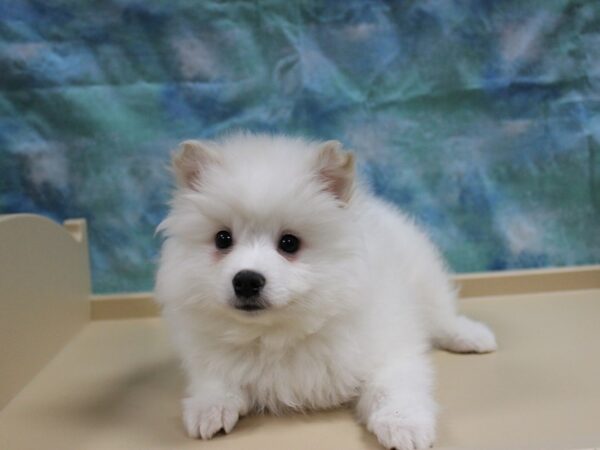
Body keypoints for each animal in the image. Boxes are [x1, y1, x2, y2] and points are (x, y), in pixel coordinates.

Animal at [156, 132, 496, 448]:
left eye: (289, 243)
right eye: (223, 239)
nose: (247, 280)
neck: (277, 335)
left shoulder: (388, 350)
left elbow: (393, 388)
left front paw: (404, 427)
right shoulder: (210, 355)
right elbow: (215, 381)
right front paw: (208, 409)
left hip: (424, 278)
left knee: (442, 315)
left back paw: (472, 336)